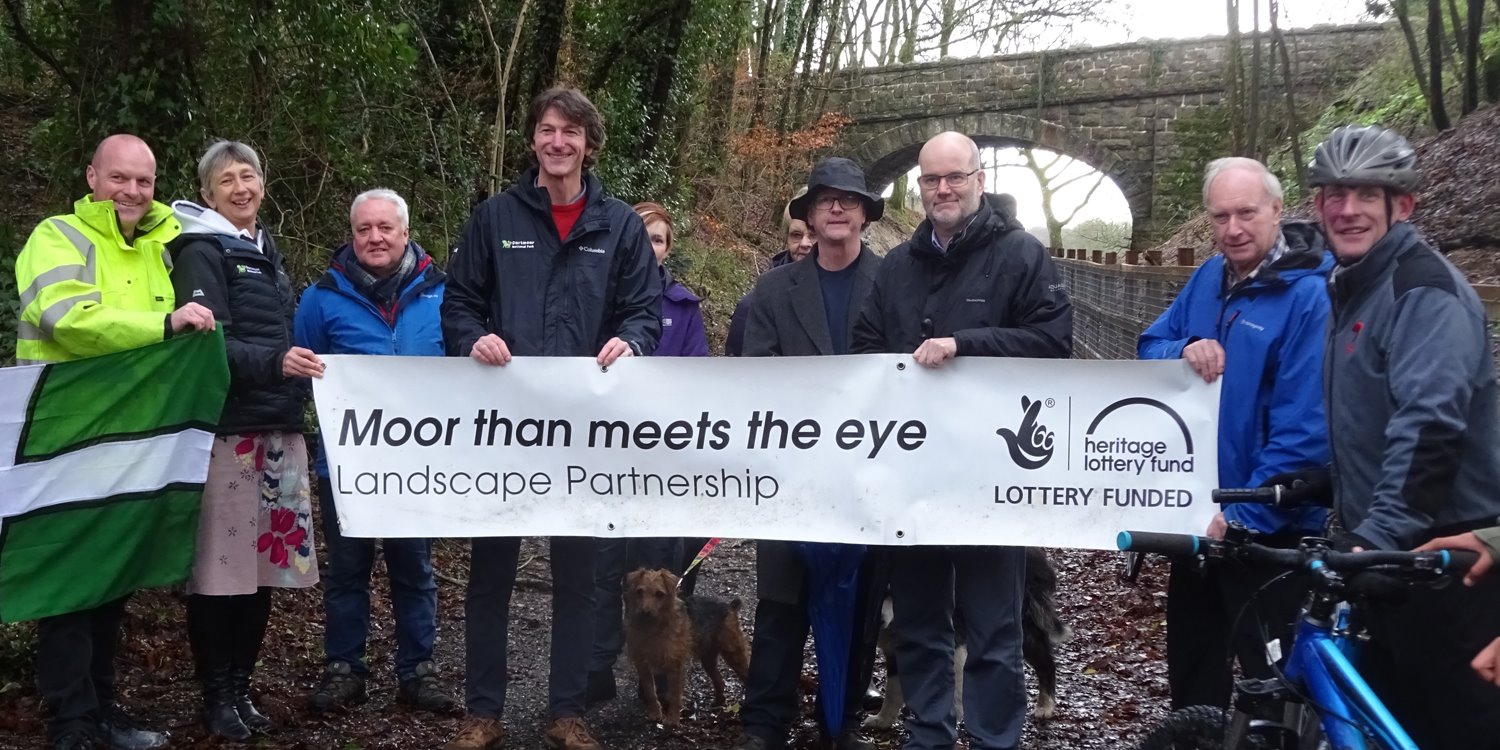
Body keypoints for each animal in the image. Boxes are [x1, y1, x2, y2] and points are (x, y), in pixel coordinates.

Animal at [624, 567, 750, 726]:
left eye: (659, 594)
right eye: (640, 591)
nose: (645, 612)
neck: (653, 628)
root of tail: (730, 606)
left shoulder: (675, 667)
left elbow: (674, 695)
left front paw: (672, 718)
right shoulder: (643, 665)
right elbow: (650, 692)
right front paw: (654, 713)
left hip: (734, 654)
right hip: (708, 659)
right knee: (719, 681)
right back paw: (718, 702)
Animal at [864, 549, 1074, 729]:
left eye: (893, 591)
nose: (878, 622)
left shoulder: (954, 641)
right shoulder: (894, 650)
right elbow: (892, 691)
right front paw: (883, 720)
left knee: (1046, 664)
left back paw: (1044, 706)